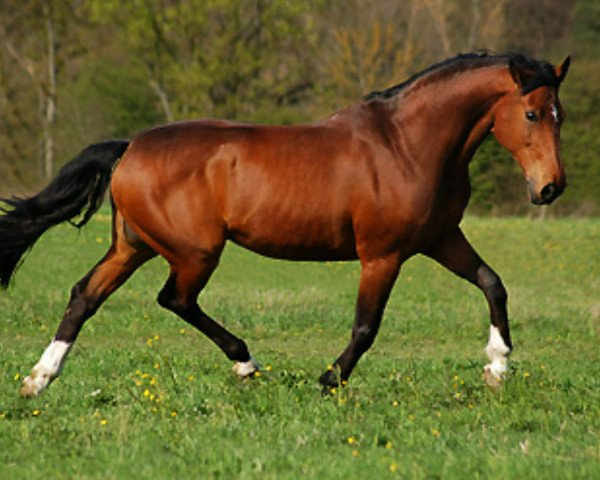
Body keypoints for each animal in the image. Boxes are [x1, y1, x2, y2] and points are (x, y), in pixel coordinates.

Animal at [0, 52, 568, 398]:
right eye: (533, 114)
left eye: (559, 114)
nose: (550, 189)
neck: (408, 145)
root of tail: (131, 147)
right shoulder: (381, 254)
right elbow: (366, 326)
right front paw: (329, 379)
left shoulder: (441, 238)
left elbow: (493, 283)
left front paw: (497, 367)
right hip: (195, 252)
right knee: (174, 299)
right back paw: (245, 363)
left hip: (133, 245)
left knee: (85, 295)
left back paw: (39, 379)